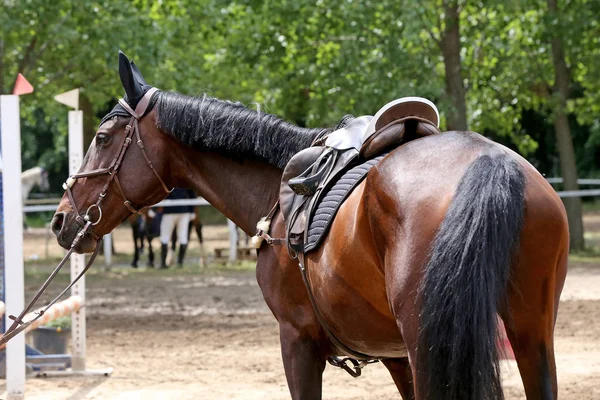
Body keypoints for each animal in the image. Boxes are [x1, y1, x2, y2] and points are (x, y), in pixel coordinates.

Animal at [48, 54, 568, 400]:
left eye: (101, 137)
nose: (61, 219)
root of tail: (489, 163)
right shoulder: (396, 353)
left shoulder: (297, 340)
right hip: (530, 335)